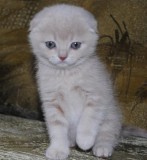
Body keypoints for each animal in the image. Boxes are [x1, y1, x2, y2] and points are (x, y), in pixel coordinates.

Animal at [28, 4, 146, 160]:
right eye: (50, 44)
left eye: (75, 45)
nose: (62, 56)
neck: (66, 75)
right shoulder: (52, 102)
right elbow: (57, 129)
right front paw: (58, 149)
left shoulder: (96, 96)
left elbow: (88, 120)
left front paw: (84, 141)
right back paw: (70, 142)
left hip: (111, 117)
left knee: (108, 135)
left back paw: (101, 147)